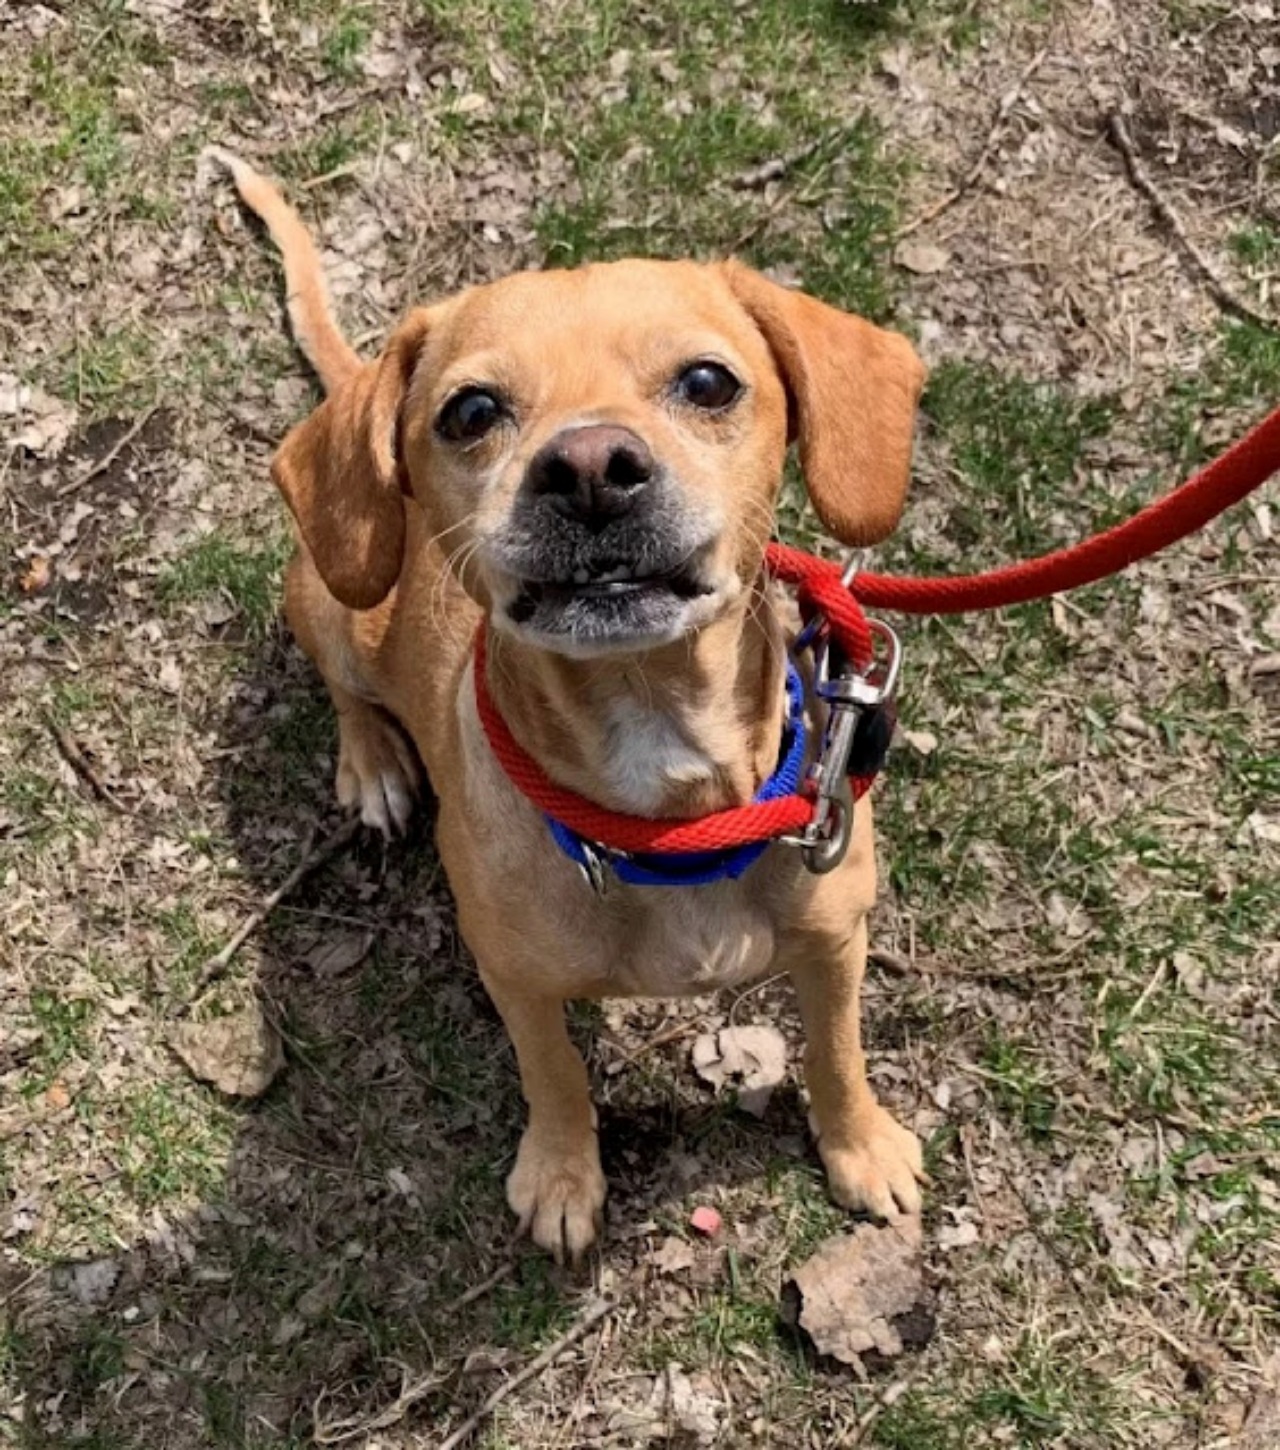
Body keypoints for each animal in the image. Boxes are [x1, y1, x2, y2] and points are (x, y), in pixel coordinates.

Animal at [217, 150, 921, 1258]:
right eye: (470, 411)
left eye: (708, 382)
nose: (592, 467)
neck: (663, 783)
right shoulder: (516, 977)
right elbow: (551, 1074)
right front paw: (559, 1174)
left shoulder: (835, 941)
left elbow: (837, 1051)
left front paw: (860, 1145)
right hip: (330, 605)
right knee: (344, 686)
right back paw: (373, 763)